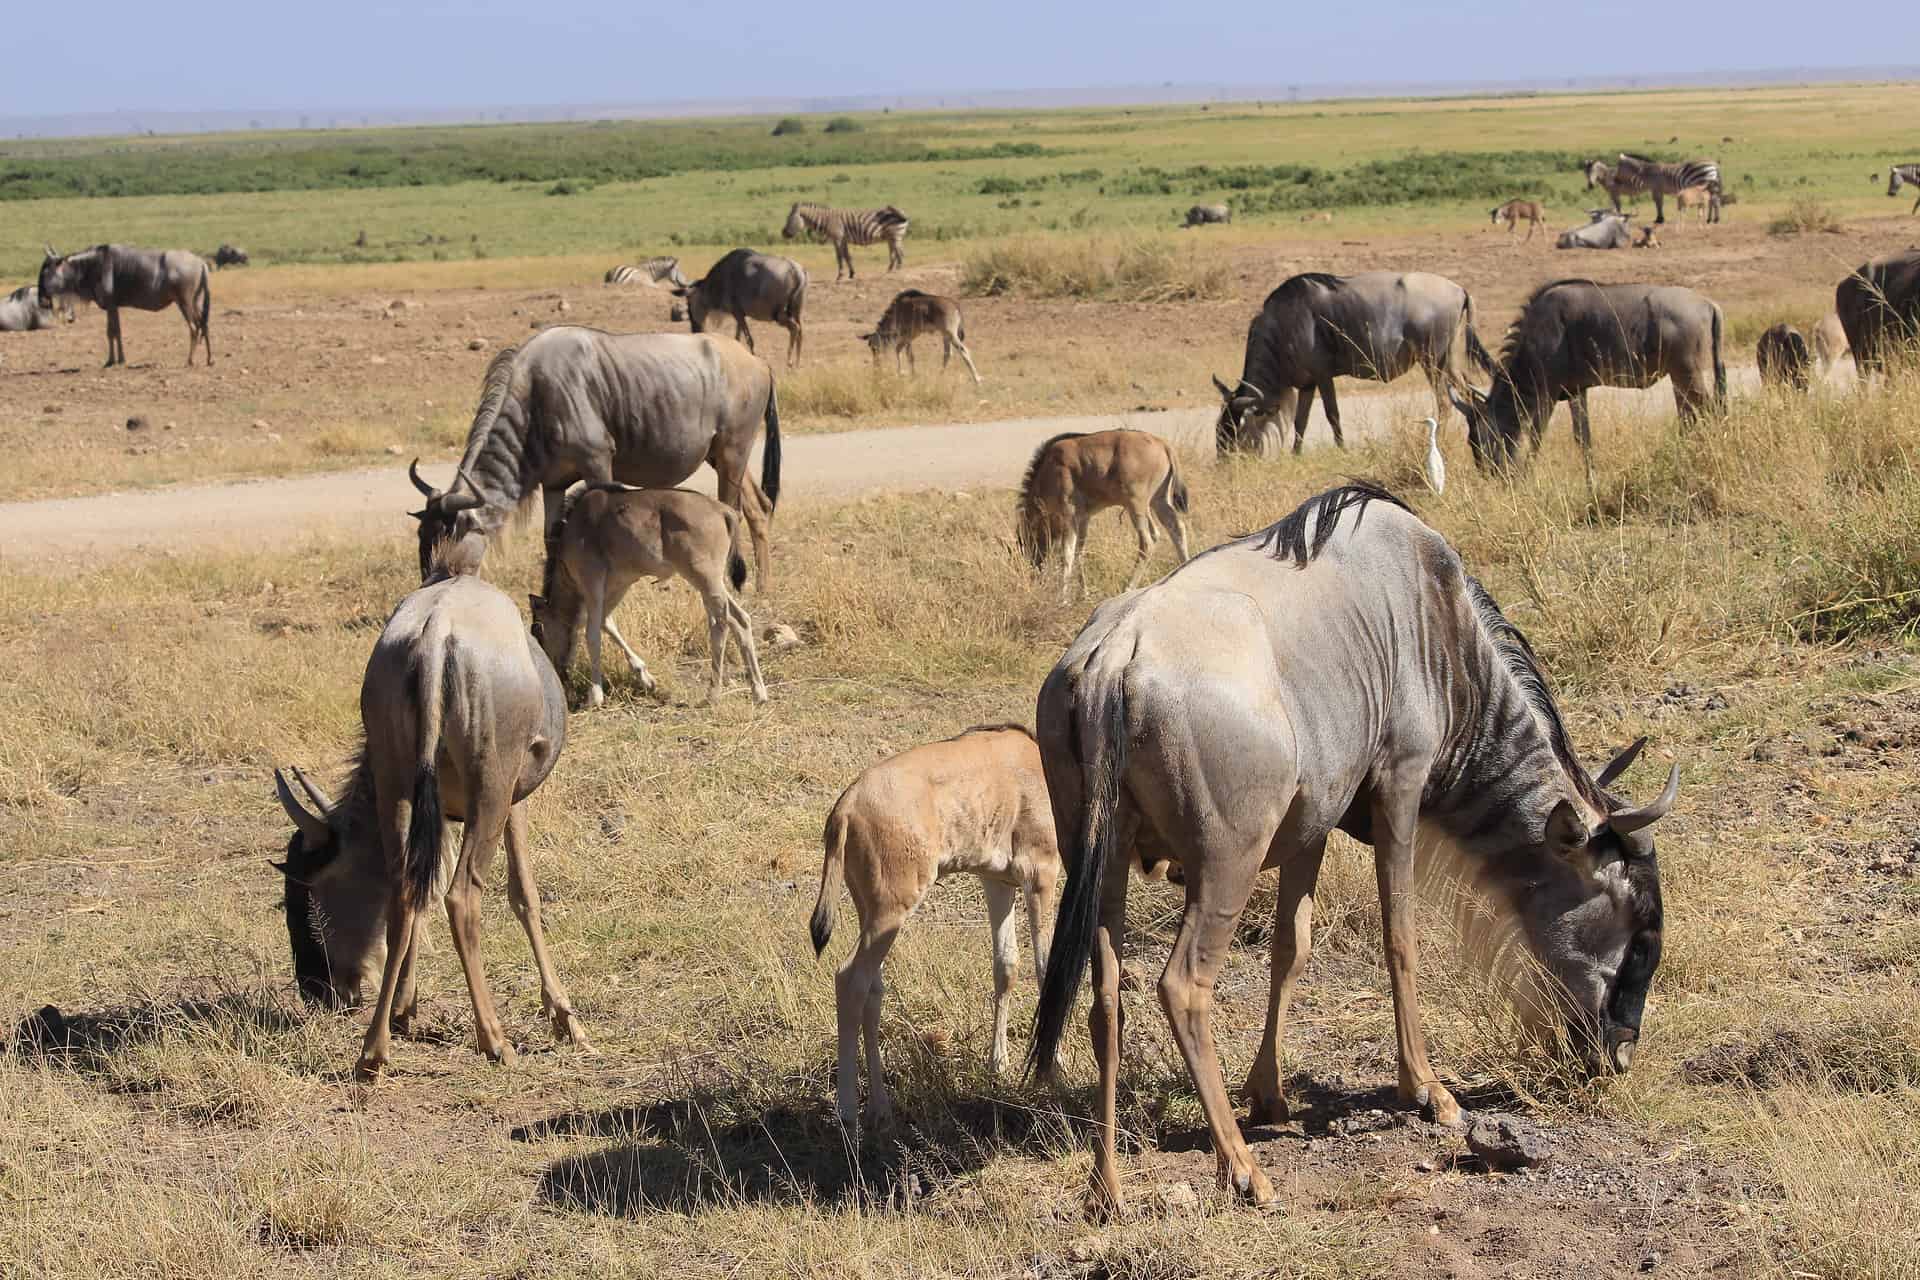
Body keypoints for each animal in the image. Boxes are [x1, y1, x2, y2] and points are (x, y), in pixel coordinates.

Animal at [529, 487, 768, 717]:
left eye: (538, 630)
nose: (558, 674)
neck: (575, 529)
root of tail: (722, 510)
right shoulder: (619, 584)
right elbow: (607, 623)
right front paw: (646, 678)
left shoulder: (593, 580)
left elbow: (592, 634)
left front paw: (594, 696)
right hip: (713, 583)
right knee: (741, 619)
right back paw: (759, 692)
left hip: (705, 578)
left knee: (721, 623)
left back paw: (713, 694)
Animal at [802, 725, 1059, 1128]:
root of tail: (846, 807)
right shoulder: (1040, 874)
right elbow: (1047, 967)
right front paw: (1054, 1072)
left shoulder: (998, 882)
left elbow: (1006, 966)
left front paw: (998, 1065)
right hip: (892, 909)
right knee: (850, 979)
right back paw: (848, 1111)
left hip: (870, 911)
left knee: (873, 989)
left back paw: (881, 1108)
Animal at [1021, 429, 1182, 606]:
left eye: (1028, 543)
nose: (1035, 575)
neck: (1049, 468)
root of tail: (1162, 444)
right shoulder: (1083, 519)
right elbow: (1079, 552)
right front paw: (1084, 593)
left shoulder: (1069, 516)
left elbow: (1067, 555)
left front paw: (1062, 599)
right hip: (1158, 501)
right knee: (1176, 527)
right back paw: (1184, 565)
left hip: (1136, 505)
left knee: (1147, 542)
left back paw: (1128, 587)